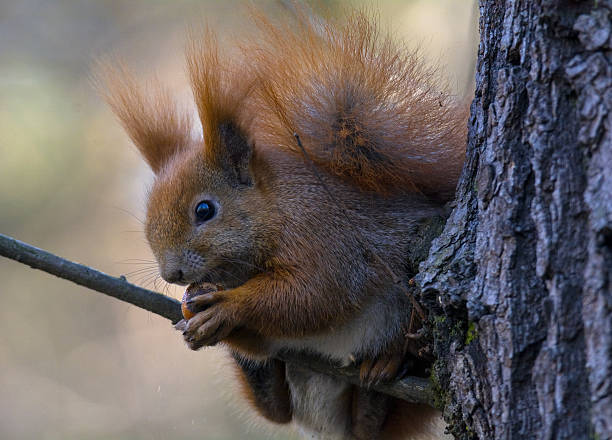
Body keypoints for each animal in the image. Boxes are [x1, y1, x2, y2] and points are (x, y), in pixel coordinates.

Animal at [100, 5, 466, 438]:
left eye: (204, 210)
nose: (172, 274)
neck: (276, 209)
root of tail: (329, 425)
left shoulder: (325, 234)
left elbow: (315, 293)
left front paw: (228, 306)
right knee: (279, 409)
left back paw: (389, 364)